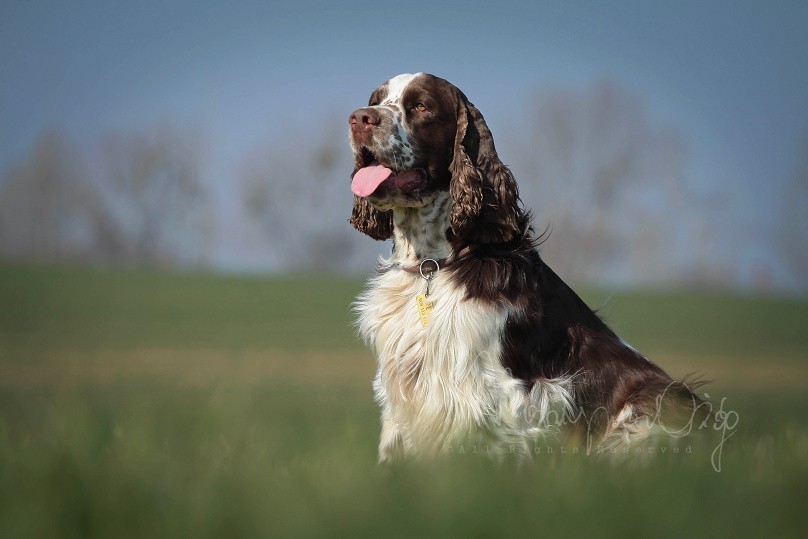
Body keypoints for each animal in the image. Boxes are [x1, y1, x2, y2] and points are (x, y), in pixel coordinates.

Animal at [348, 71, 700, 462]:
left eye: (421, 106)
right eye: (377, 100)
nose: (360, 118)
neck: (431, 263)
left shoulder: (502, 390)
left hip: (655, 403)